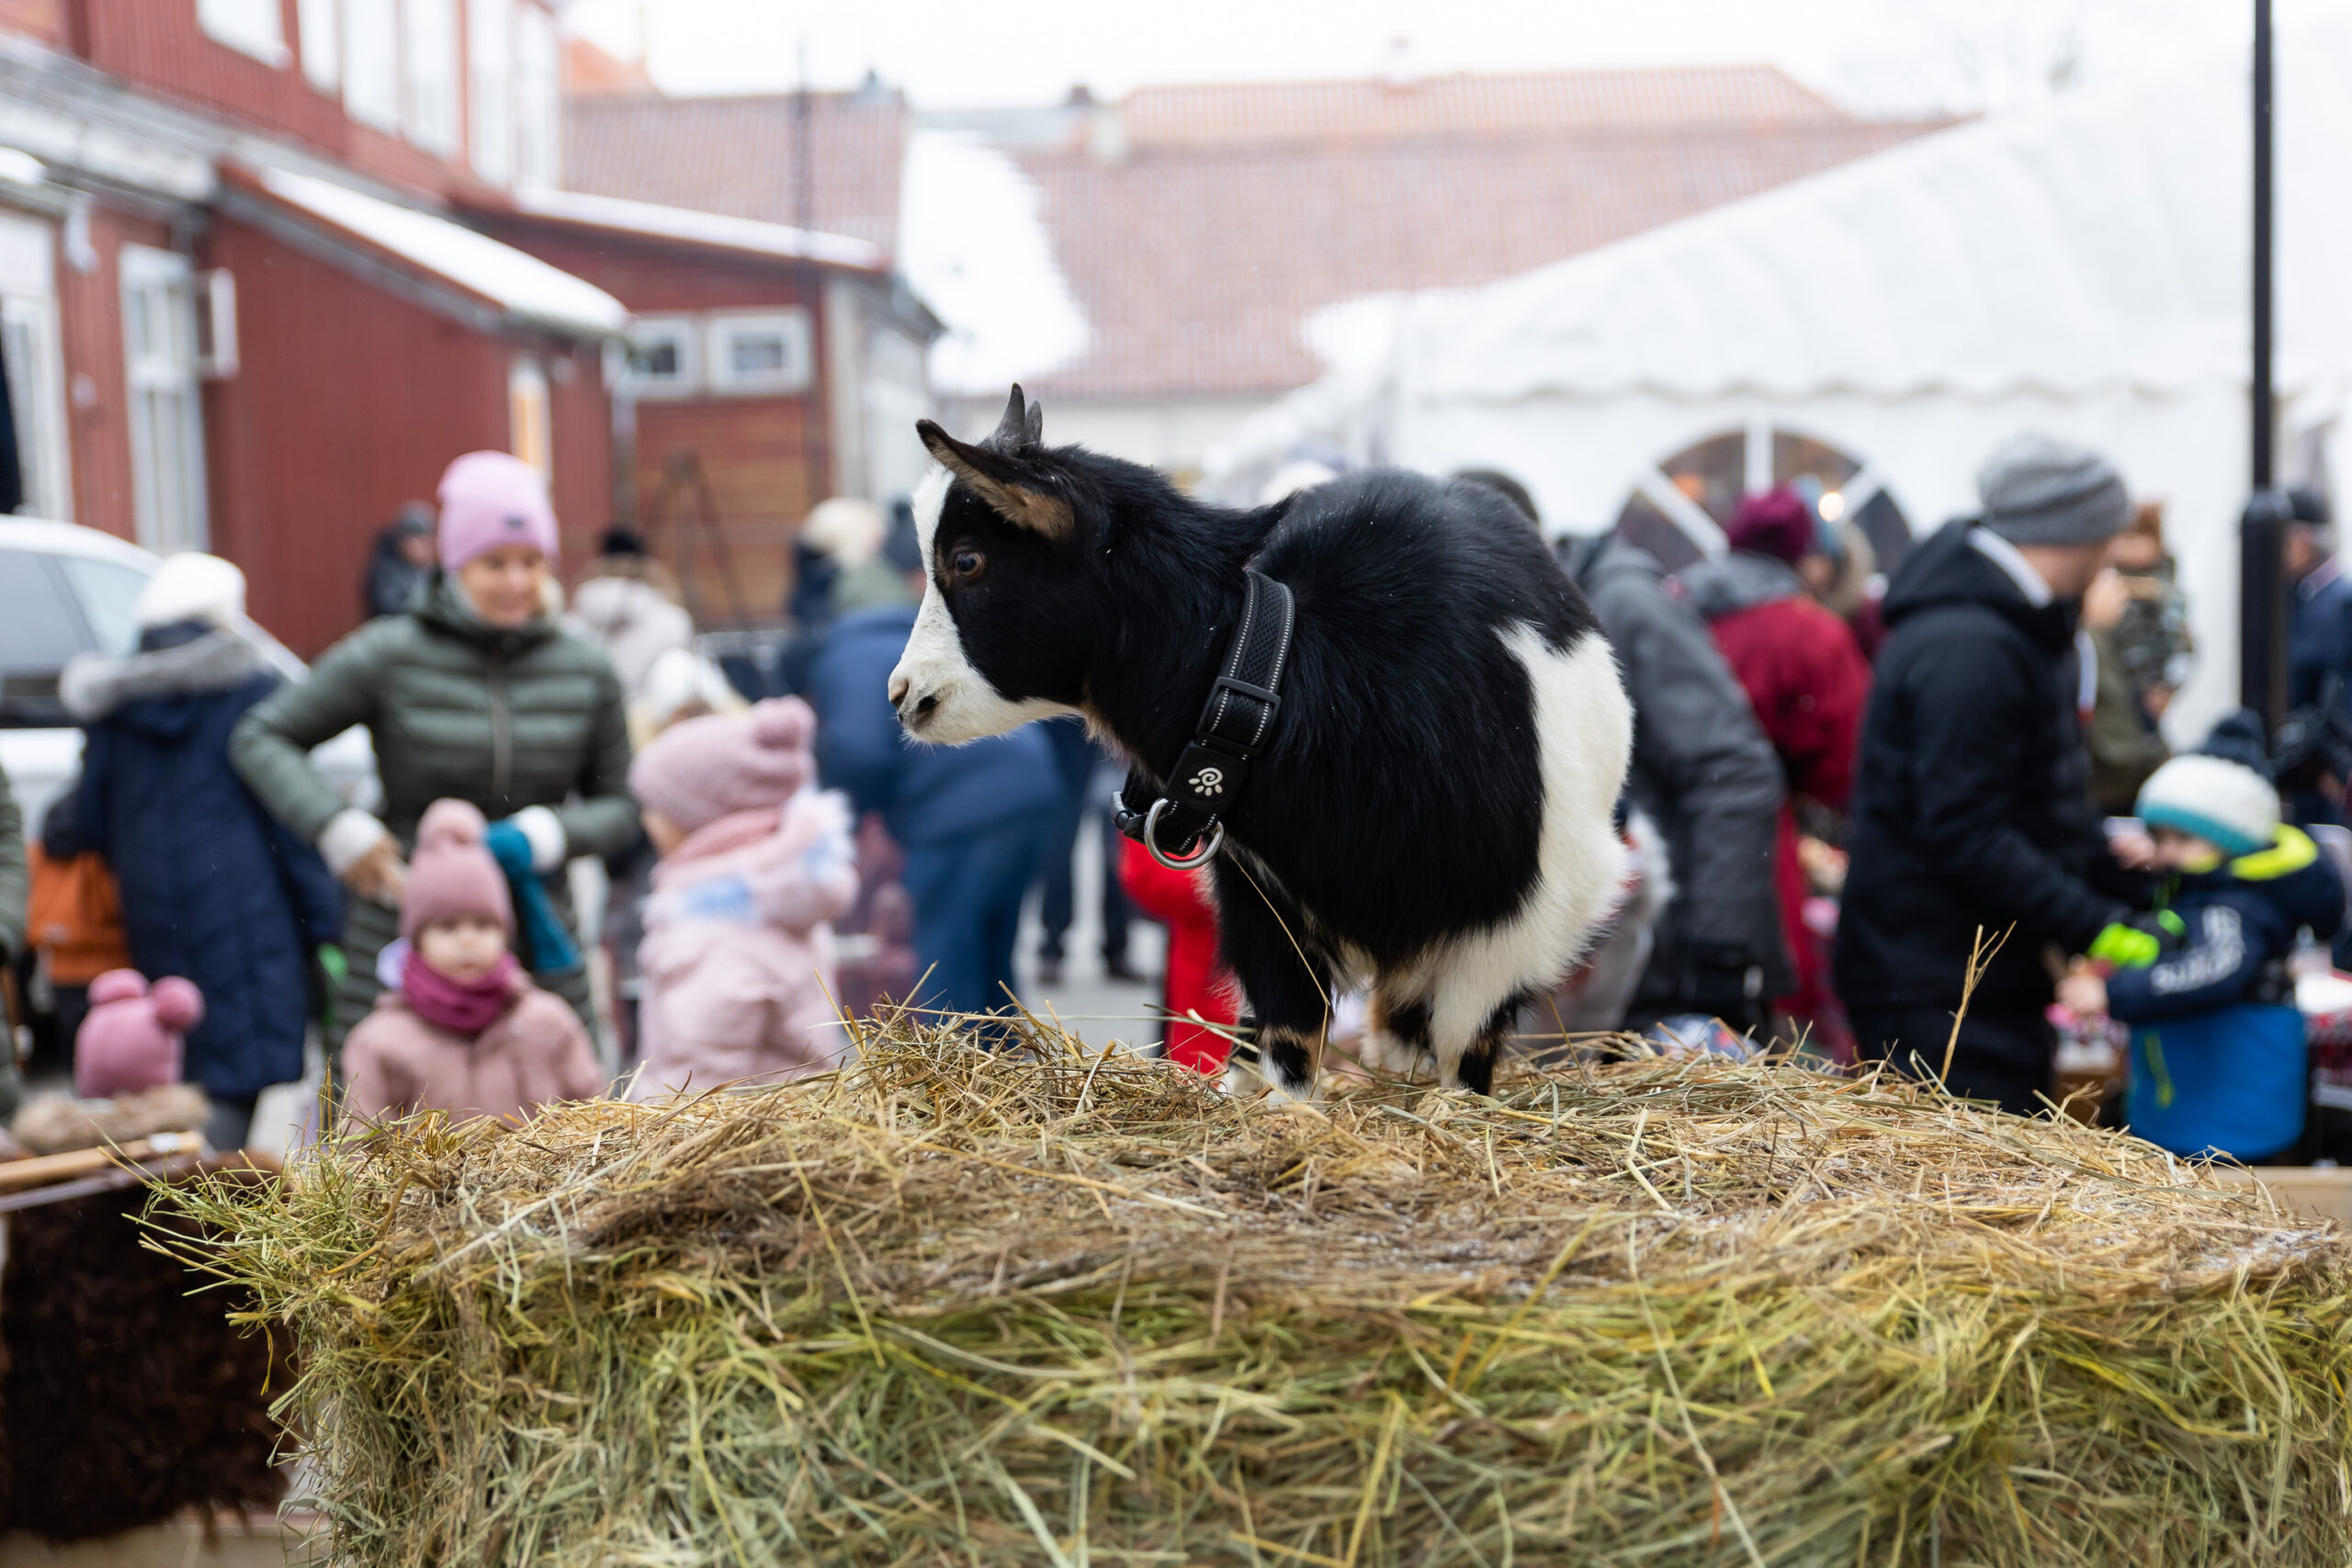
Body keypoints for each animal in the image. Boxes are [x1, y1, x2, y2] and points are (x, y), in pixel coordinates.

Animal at [884, 389, 1636, 1100]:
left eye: (968, 560)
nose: (901, 693)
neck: (1285, 666)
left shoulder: (1521, 920)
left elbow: (1467, 1042)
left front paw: (1454, 1111)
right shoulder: (1256, 891)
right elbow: (1290, 1026)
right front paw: (1284, 1115)